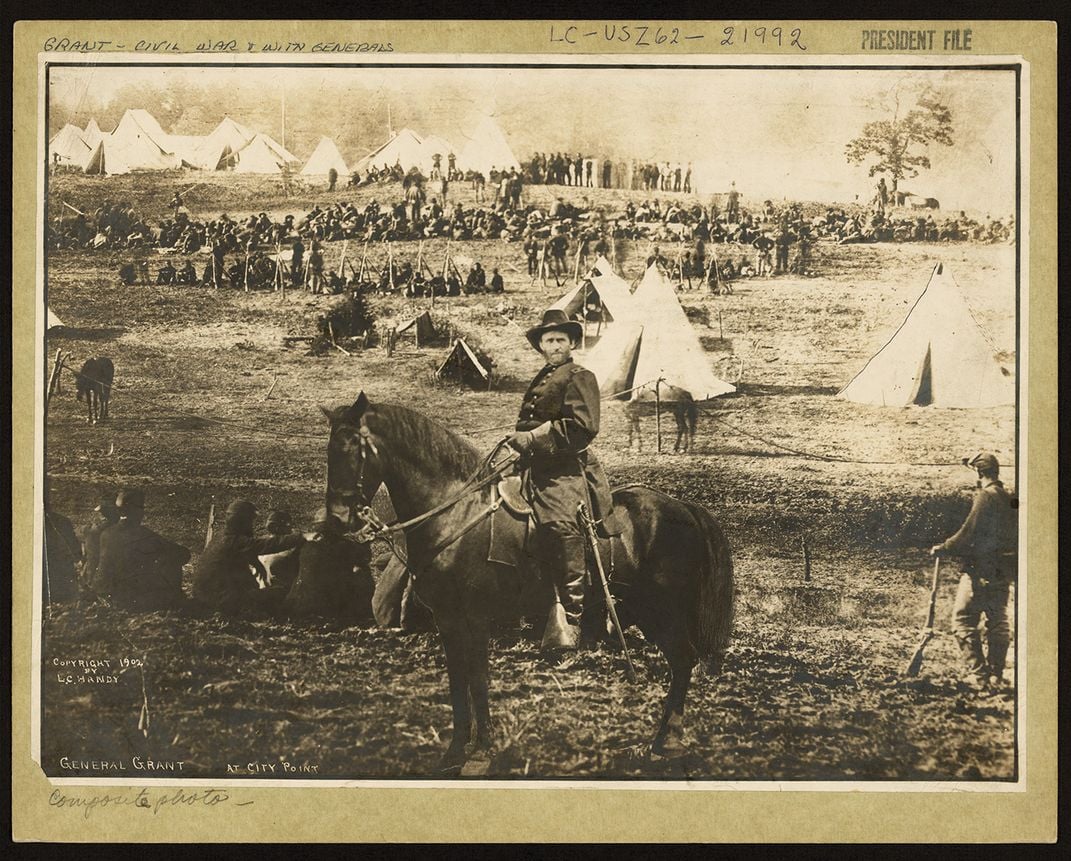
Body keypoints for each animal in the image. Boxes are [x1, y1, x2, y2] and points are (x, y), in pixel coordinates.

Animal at [321, 391, 732, 775]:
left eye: (353, 450)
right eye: (329, 452)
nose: (338, 520)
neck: (457, 514)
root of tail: (683, 507)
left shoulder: (475, 617)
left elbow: (478, 681)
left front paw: (481, 754)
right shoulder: (447, 621)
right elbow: (457, 683)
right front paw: (454, 753)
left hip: (663, 614)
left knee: (683, 661)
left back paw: (666, 742)